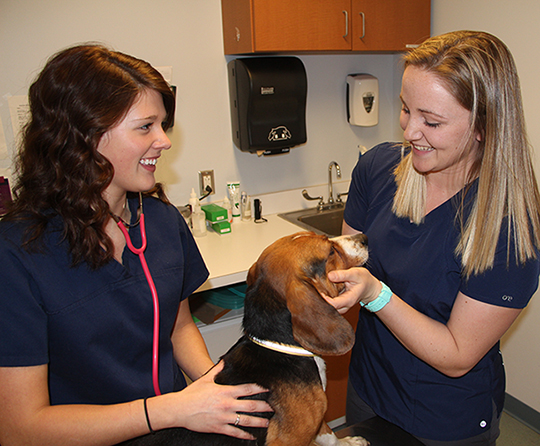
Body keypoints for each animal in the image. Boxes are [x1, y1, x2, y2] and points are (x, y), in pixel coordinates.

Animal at [120, 232, 370, 446]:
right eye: (331, 251)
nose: (364, 238)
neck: (277, 345)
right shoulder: (293, 437)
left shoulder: (317, 421)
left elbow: (328, 434)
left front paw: (347, 442)